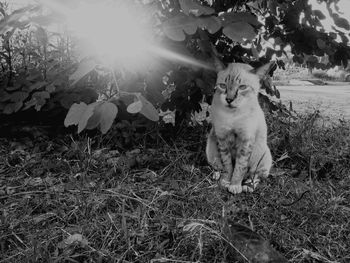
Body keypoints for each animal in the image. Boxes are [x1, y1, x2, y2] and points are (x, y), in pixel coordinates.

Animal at [205, 60, 274, 195]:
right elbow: (227, 164)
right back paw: (216, 175)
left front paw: (235, 185)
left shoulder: (246, 140)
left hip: (262, 154)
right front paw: (226, 182)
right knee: (217, 165)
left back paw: (248, 186)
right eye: (223, 86)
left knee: (255, 174)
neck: (233, 115)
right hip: (210, 146)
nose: (229, 99)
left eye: (242, 87)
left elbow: (240, 166)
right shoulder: (222, 138)